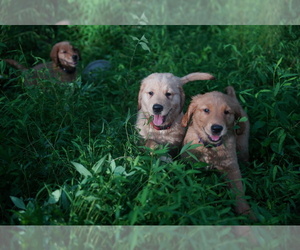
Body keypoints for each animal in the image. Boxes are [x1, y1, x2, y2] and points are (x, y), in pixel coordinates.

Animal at [180, 86, 253, 219]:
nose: (217, 128)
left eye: (227, 112)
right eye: (206, 110)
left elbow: (238, 190)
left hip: (243, 143)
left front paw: (247, 213)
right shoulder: (189, 162)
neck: (210, 147)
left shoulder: (231, 167)